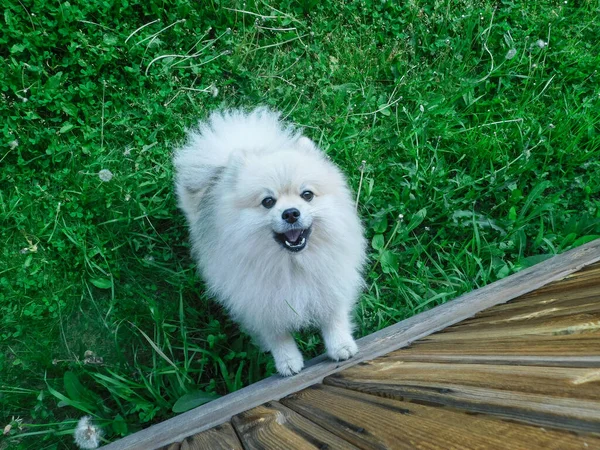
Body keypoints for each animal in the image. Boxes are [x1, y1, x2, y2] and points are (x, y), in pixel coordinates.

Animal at [173, 109, 366, 376]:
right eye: (268, 201)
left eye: (307, 195)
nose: (291, 213)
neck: (292, 263)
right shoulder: (259, 303)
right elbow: (277, 336)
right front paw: (287, 362)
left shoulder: (330, 283)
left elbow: (333, 316)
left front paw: (341, 346)